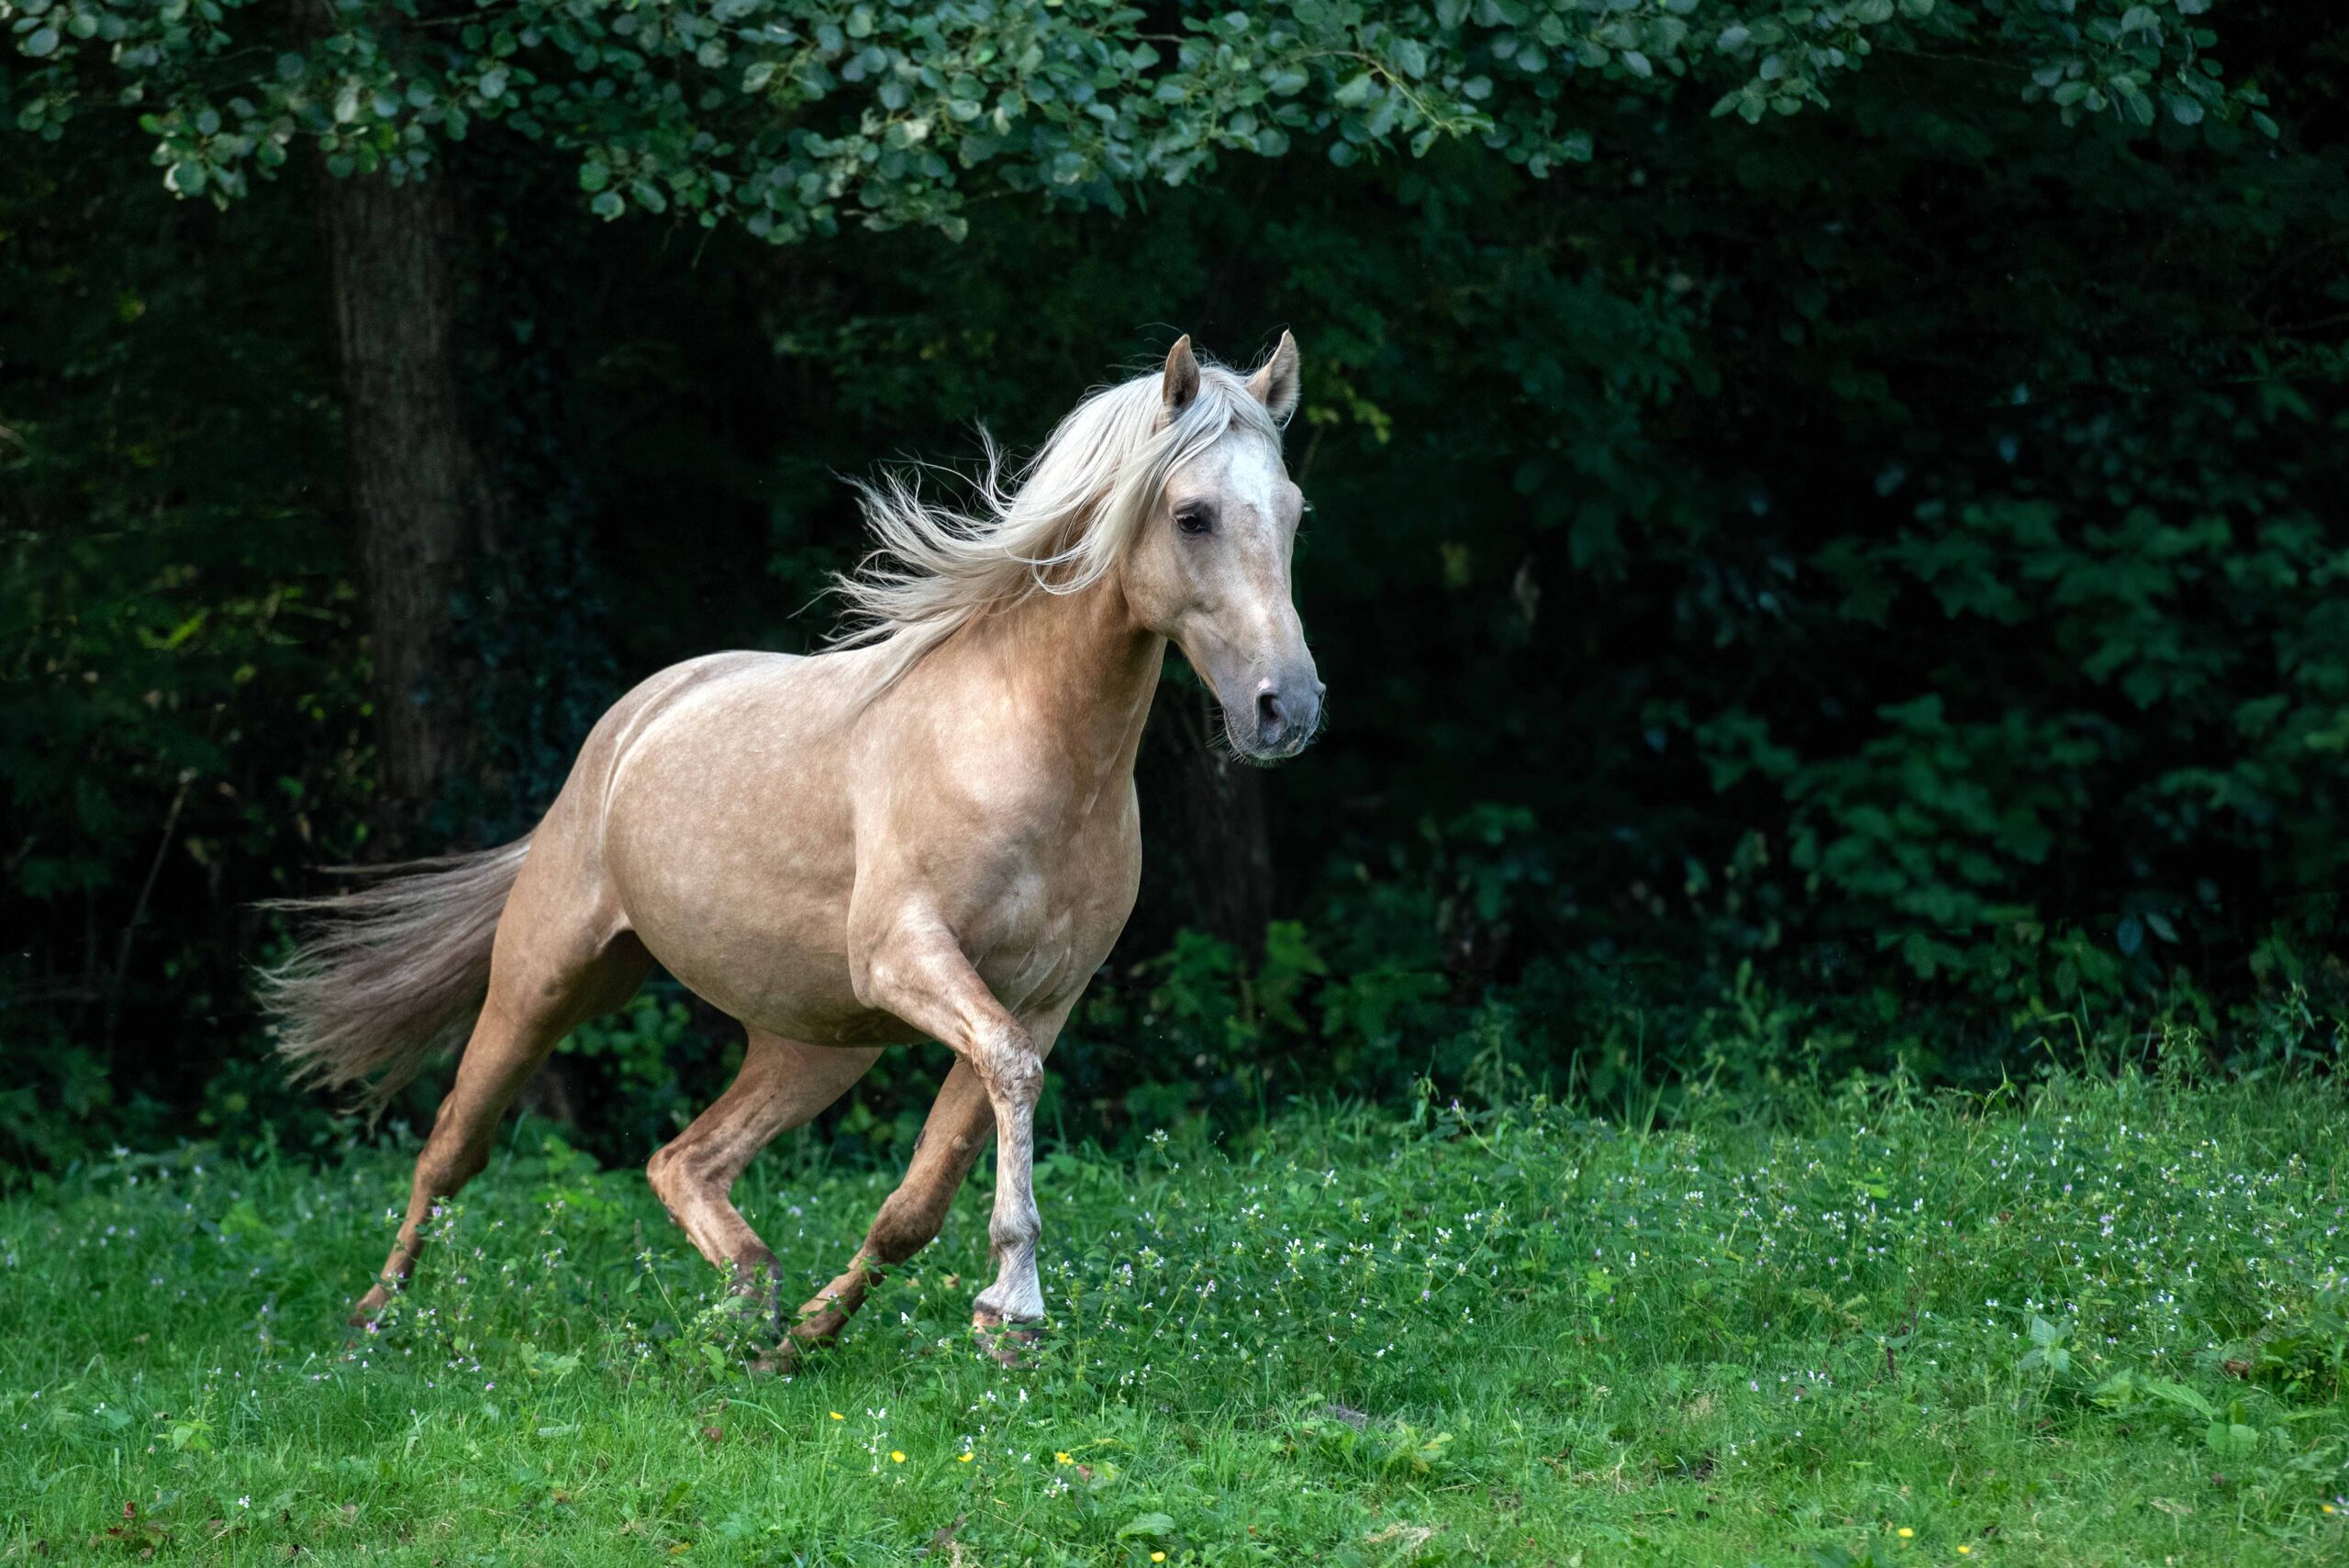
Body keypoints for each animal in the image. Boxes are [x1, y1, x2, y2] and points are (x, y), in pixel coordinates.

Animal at [269, 338, 1334, 1361]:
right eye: (1192, 515)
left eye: (1293, 512)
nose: (1287, 708)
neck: (1027, 745)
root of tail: (629, 724)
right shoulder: (914, 959)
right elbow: (1011, 1081)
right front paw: (1013, 1303)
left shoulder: (1041, 999)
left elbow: (923, 1193)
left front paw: (832, 1333)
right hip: (543, 980)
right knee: (453, 1145)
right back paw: (374, 1320)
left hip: (815, 1043)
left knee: (682, 1160)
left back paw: (751, 1310)